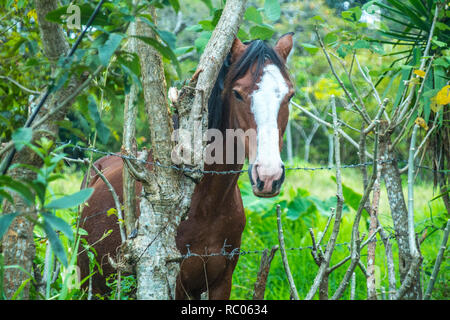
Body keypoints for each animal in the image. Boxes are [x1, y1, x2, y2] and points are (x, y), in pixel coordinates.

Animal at [77, 35, 296, 300]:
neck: (207, 204)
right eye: (237, 93)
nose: (268, 175)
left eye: (289, 96)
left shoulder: (222, 283)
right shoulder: (176, 283)